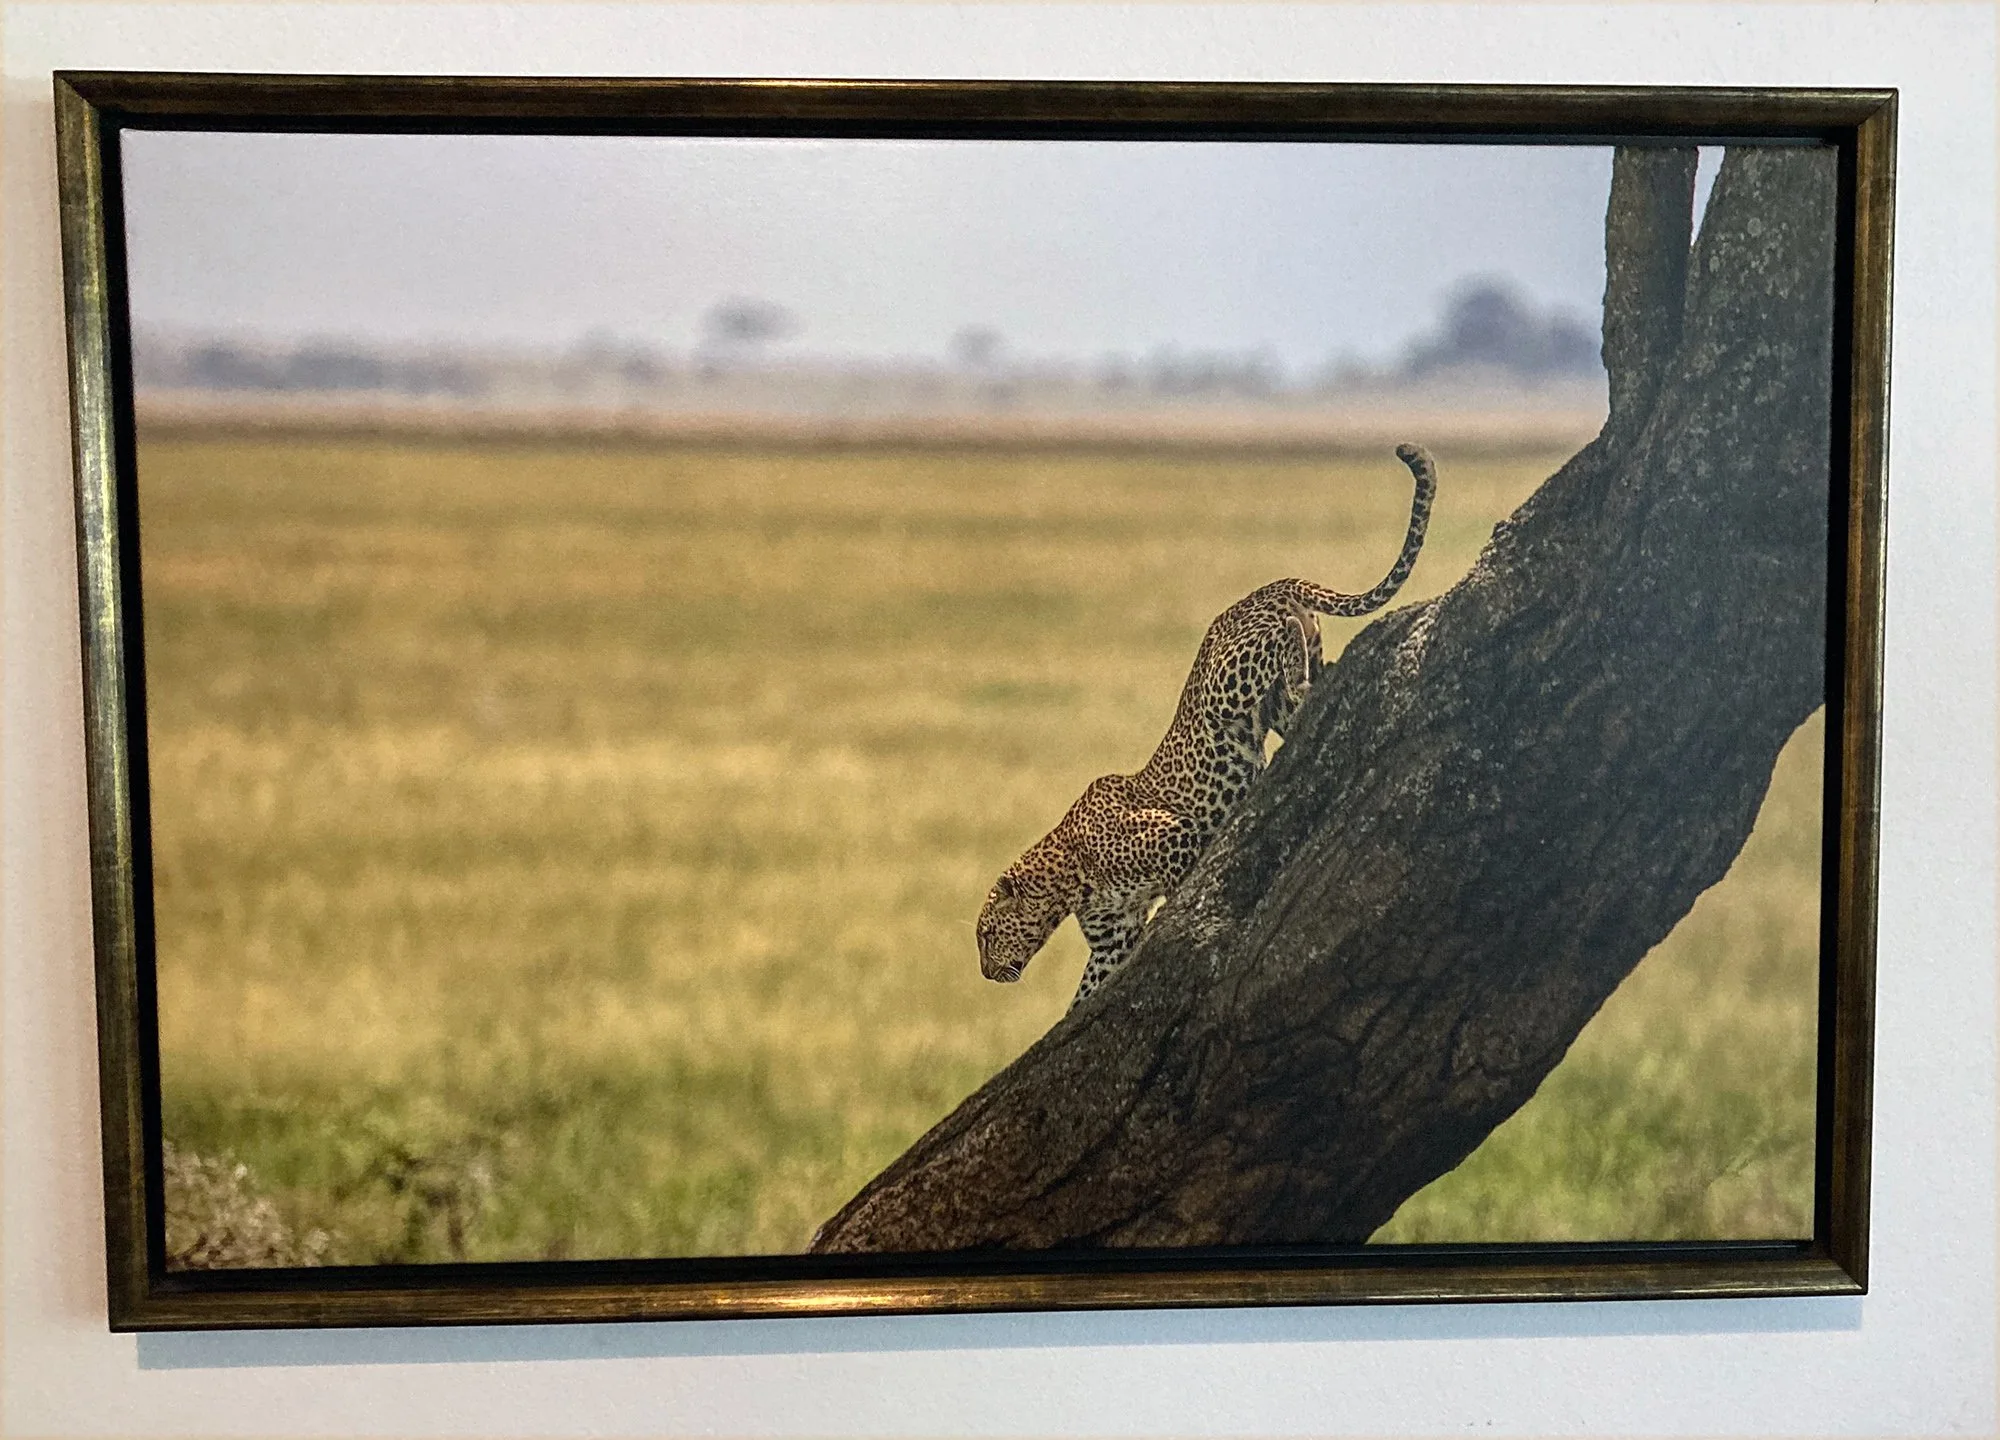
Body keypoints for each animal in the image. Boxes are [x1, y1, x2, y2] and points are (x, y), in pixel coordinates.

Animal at [975, 442, 1437, 1010]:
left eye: (987, 935)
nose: (986, 973)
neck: (1067, 876)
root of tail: (1268, 587)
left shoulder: (1178, 838)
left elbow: (1179, 888)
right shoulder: (1112, 940)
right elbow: (1083, 996)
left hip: (1224, 685)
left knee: (1285, 644)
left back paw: (1296, 660)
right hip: (1267, 703)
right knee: (1300, 694)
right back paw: (1310, 683)